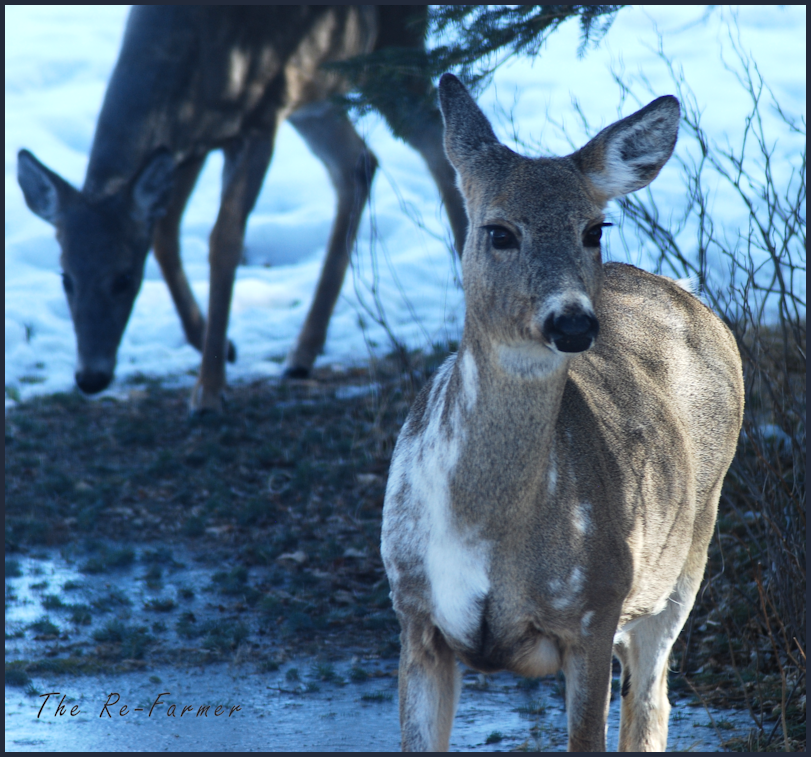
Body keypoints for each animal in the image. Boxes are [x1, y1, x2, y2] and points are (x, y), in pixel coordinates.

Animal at [16, 6, 467, 413]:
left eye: (124, 279)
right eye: (65, 278)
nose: (90, 378)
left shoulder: (258, 122)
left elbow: (224, 242)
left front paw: (209, 388)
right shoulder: (189, 145)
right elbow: (165, 233)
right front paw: (212, 343)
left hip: (394, 51)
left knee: (437, 145)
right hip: (318, 93)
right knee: (359, 164)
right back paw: (302, 352)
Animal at [381, 73, 744, 752]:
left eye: (594, 229)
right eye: (499, 231)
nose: (573, 321)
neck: (489, 535)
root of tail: (687, 294)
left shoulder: (596, 605)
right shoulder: (414, 612)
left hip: (687, 555)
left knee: (651, 698)